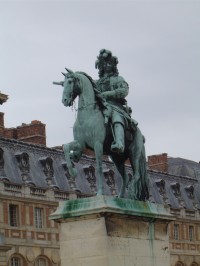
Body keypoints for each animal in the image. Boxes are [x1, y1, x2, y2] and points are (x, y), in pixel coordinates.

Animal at [53, 69, 148, 201]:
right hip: (117, 158)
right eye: (63, 84)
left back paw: (133, 195)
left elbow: (99, 168)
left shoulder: (98, 145)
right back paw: (121, 197)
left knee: (137, 175)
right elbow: (66, 147)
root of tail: (140, 133)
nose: (65, 101)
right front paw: (72, 169)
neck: (87, 115)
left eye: (70, 82)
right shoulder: (81, 144)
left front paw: (99, 193)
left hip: (135, 155)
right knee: (125, 177)